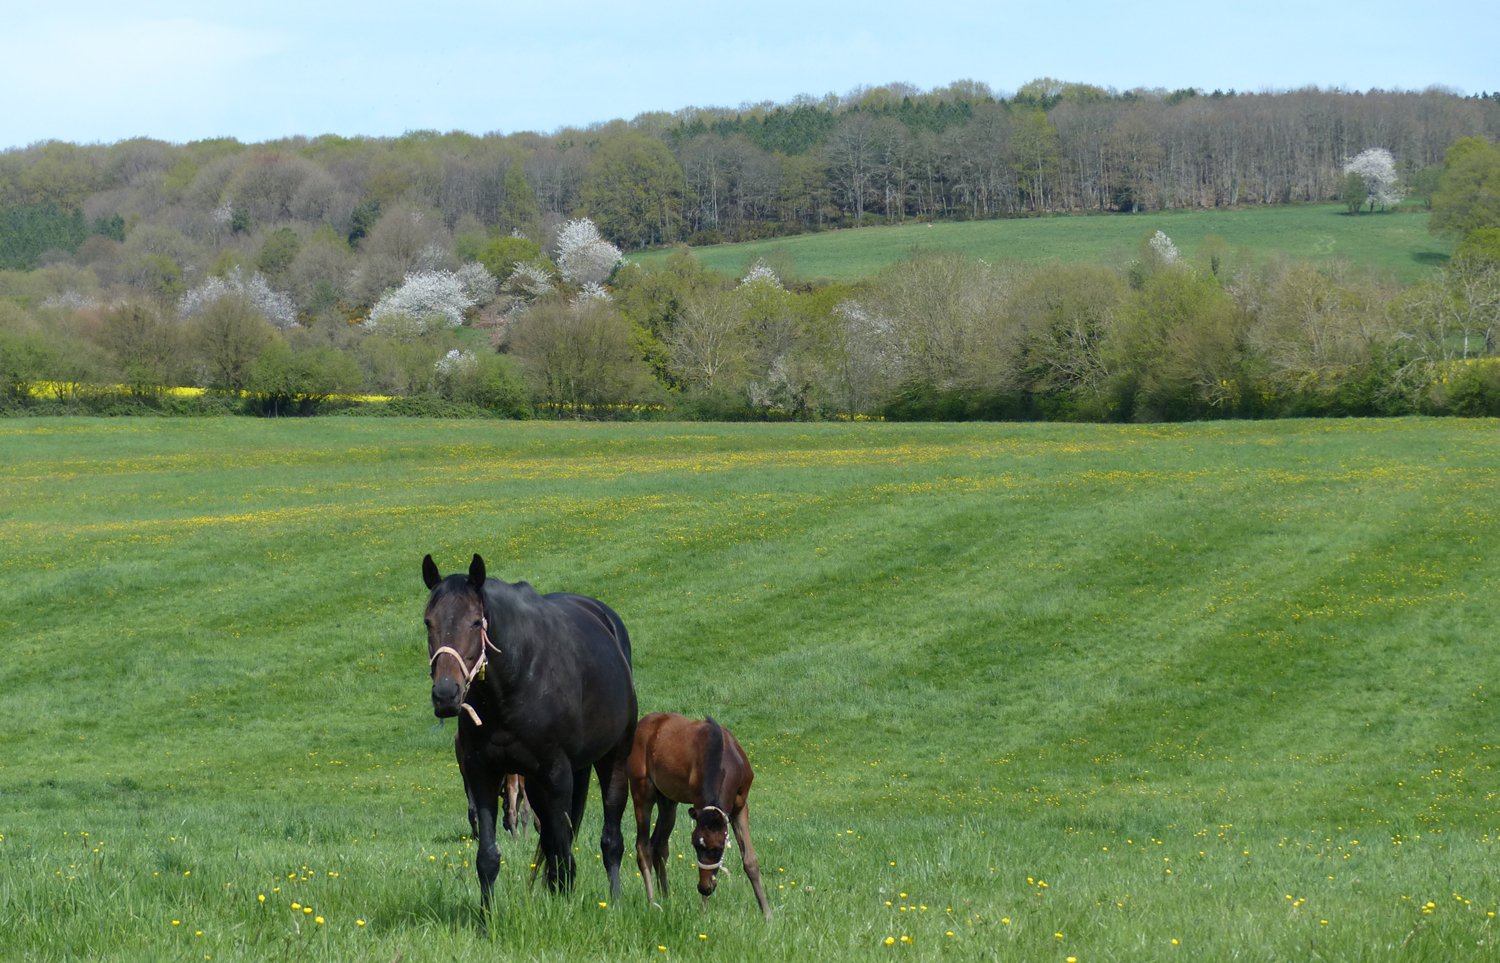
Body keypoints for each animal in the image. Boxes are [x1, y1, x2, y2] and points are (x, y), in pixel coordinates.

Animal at [422, 553, 637, 907]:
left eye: (476, 622)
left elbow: (562, 852)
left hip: (613, 760)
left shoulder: (557, 774)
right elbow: (488, 857)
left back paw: (616, 900)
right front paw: (487, 917)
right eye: (429, 622)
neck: (517, 677)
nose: (445, 693)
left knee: (610, 839)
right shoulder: (483, 774)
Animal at [627, 712, 772, 920]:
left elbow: (750, 861)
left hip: (668, 801)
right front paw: (704, 914)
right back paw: (653, 902)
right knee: (643, 846)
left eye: (718, 848)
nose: (704, 888)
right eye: (695, 845)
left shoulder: (740, 807)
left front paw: (768, 915)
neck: (722, 757)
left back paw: (666, 897)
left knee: (659, 845)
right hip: (642, 791)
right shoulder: (699, 802)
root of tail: (644, 722)